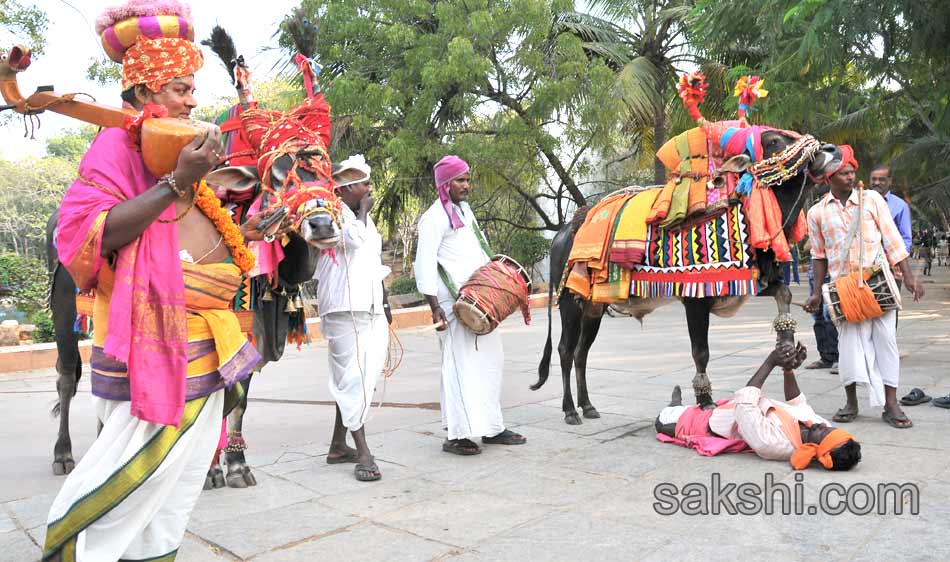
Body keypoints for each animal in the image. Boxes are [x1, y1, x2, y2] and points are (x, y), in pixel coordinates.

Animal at [47, 153, 342, 482]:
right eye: (278, 180)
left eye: (329, 178)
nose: (321, 225)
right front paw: (211, 470)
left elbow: (238, 402)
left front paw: (236, 465)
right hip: (64, 316)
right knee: (65, 378)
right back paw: (63, 454)